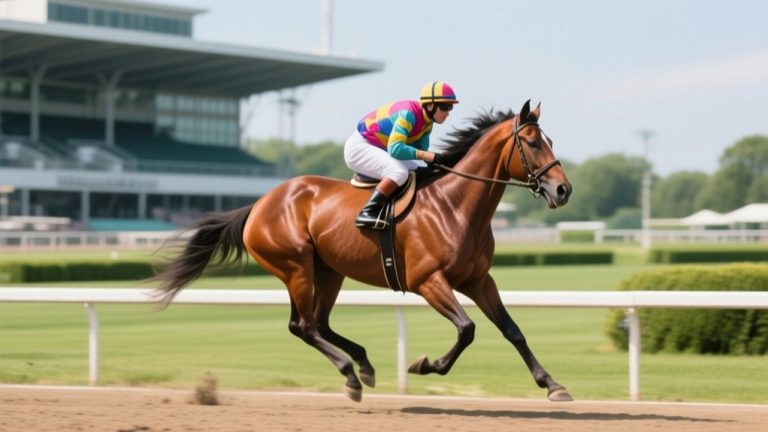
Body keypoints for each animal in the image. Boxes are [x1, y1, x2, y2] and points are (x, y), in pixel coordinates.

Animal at [153, 99, 573, 402]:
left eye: (550, 141)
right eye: (532, 142)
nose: (563, 189)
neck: (454, 206)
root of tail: (259, 204)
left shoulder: (478, 279)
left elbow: (512, 329)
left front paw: (552, 384)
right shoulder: (428, 281)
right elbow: (467, 329)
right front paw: (424, 364)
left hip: (328, 271)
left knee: (318, 323)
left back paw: (364, 364)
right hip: (296, 267)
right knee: (303, 326)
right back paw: (351, 375)